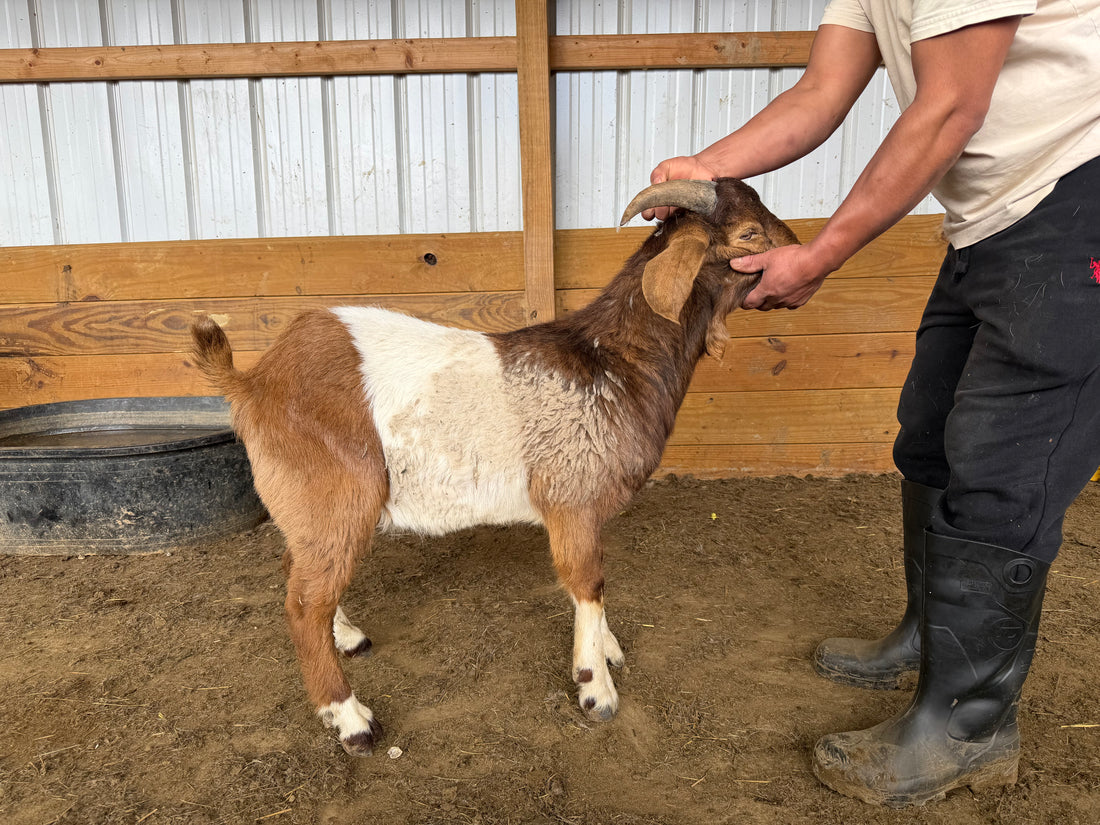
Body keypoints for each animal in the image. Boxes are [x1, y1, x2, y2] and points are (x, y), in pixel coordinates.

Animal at [190, 178, 799, 756]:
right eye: (748, 235)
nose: (797, 255)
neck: (615, 362)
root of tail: (253, 382)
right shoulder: (572, 498)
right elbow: (588, 581)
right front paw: (595, 688)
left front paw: (607, 650)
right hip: (336, 497)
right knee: (302, 604)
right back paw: (352, 721)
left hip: (308, 512)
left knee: (300, 576)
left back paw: (347, 637)